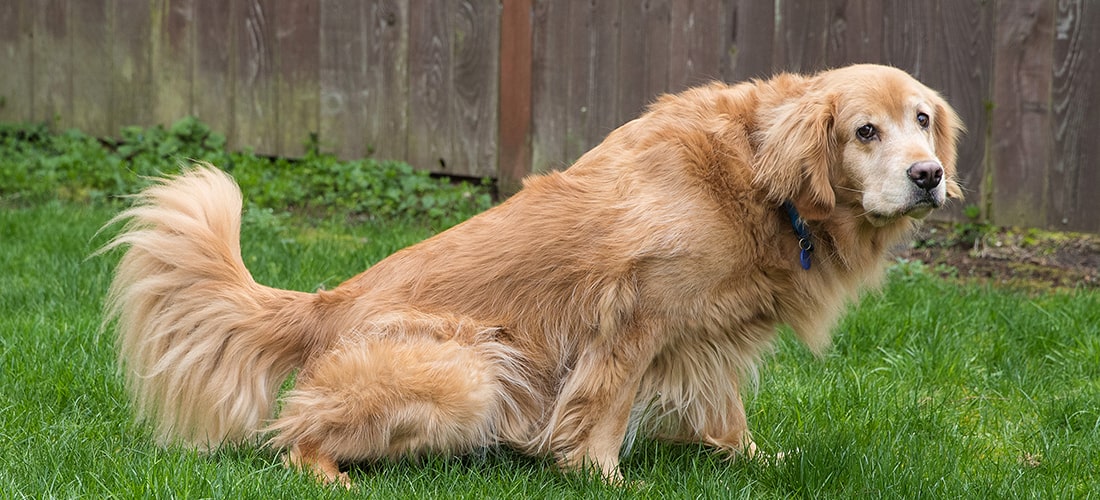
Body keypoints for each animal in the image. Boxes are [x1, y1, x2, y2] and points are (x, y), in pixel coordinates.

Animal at [103, 62, 963, 485]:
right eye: (865, 131)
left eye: (922, 119)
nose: (928, 176)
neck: (756, 176)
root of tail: (324, 304)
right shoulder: (635, 318)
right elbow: (604, 410)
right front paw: (604, 477)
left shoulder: (705, 336)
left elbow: (725, 411)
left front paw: (754, 461)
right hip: (469, 370)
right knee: (293, 437)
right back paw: (336, 476)